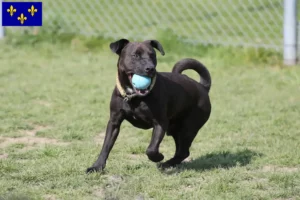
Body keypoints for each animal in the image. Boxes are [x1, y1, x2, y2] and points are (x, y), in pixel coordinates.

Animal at [86, 38, 212, 173]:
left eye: (153, 55)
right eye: (135, 55)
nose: (150, 68)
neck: (134, 97)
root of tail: (203, 87)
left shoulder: (160, 123)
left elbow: (151, 149)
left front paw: (158, 157)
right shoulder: (114, 122)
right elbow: (106, 146)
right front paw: (97, 166)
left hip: (187, 128)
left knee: (183, 152)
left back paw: (165, 164)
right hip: (175, 129)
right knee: (181, 152)